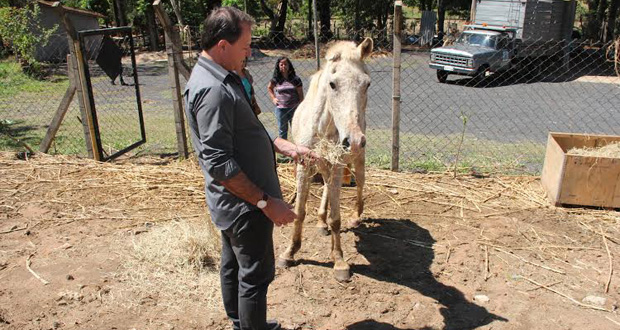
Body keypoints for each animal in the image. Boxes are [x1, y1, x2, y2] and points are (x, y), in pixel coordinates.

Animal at [280, 38, 376, 282]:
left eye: (367, 84)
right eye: (332, 84)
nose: (354, 140)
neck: (323, 126)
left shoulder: (338, 165)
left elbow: (336, 218)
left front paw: (339, 261)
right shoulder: (304, 166)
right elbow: (299, 212)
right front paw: (289, 253)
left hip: (356, 163)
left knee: (360, 186)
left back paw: (355, 217)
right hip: (324, 165)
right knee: (325, 188)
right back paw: (321, 221)